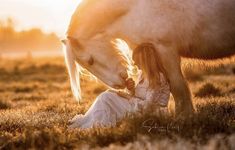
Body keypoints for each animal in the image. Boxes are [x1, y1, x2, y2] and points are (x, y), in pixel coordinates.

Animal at [63, 0, 235, 116]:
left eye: (90, 61)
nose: (119, 84)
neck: (134, 8)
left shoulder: (166, 50)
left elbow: (177, 86)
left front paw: (184, 117)